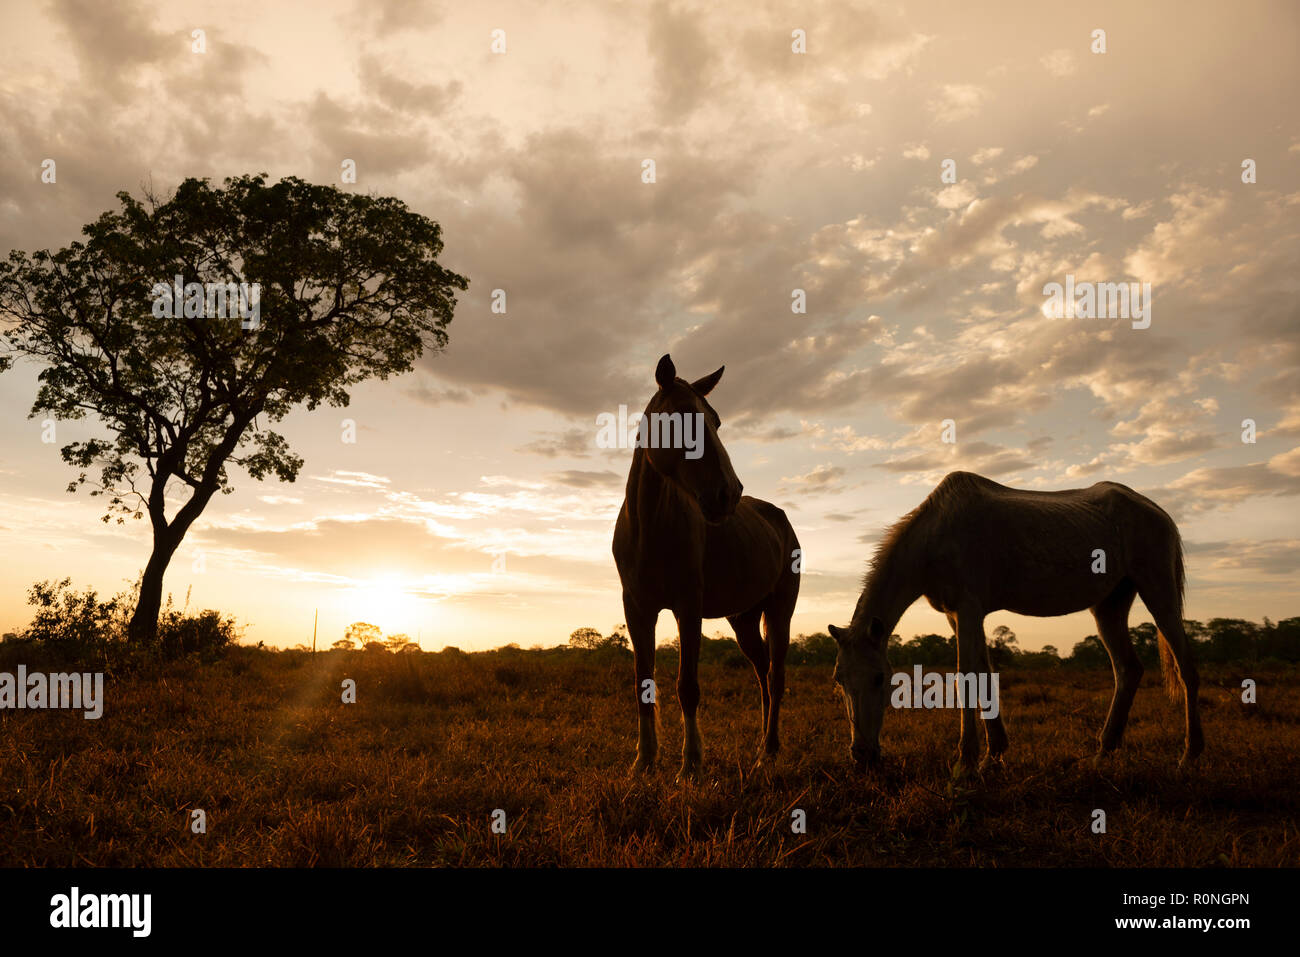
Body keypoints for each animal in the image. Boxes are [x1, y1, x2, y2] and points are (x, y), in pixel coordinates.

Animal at [612, 354, 801, 781]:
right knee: (761, 672)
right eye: (681, 415)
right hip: (743, 618)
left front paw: (691, 765)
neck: (650, 526)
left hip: (780, 610)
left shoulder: (688, 607)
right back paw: (761, 746)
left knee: (776, 676)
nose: (728, 493)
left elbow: (688, 687)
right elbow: (642, 683)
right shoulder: (637, 609)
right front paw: (643, 762)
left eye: (716, 421)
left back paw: (769, 750)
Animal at [828, 470, 1203, 772]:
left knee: (1186, 667)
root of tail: (1158, 512)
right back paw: (1102, 754)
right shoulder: (958, 615)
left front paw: (965, 762)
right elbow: (984, 675)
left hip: (1158, 593)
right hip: (1109, 606)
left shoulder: (967, 609)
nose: (862, 755)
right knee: (1128, 670)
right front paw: (993, 755)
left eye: (880, 678)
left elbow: (965, 678)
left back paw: (1189, 756)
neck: (936, 537)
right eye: (839, 679)